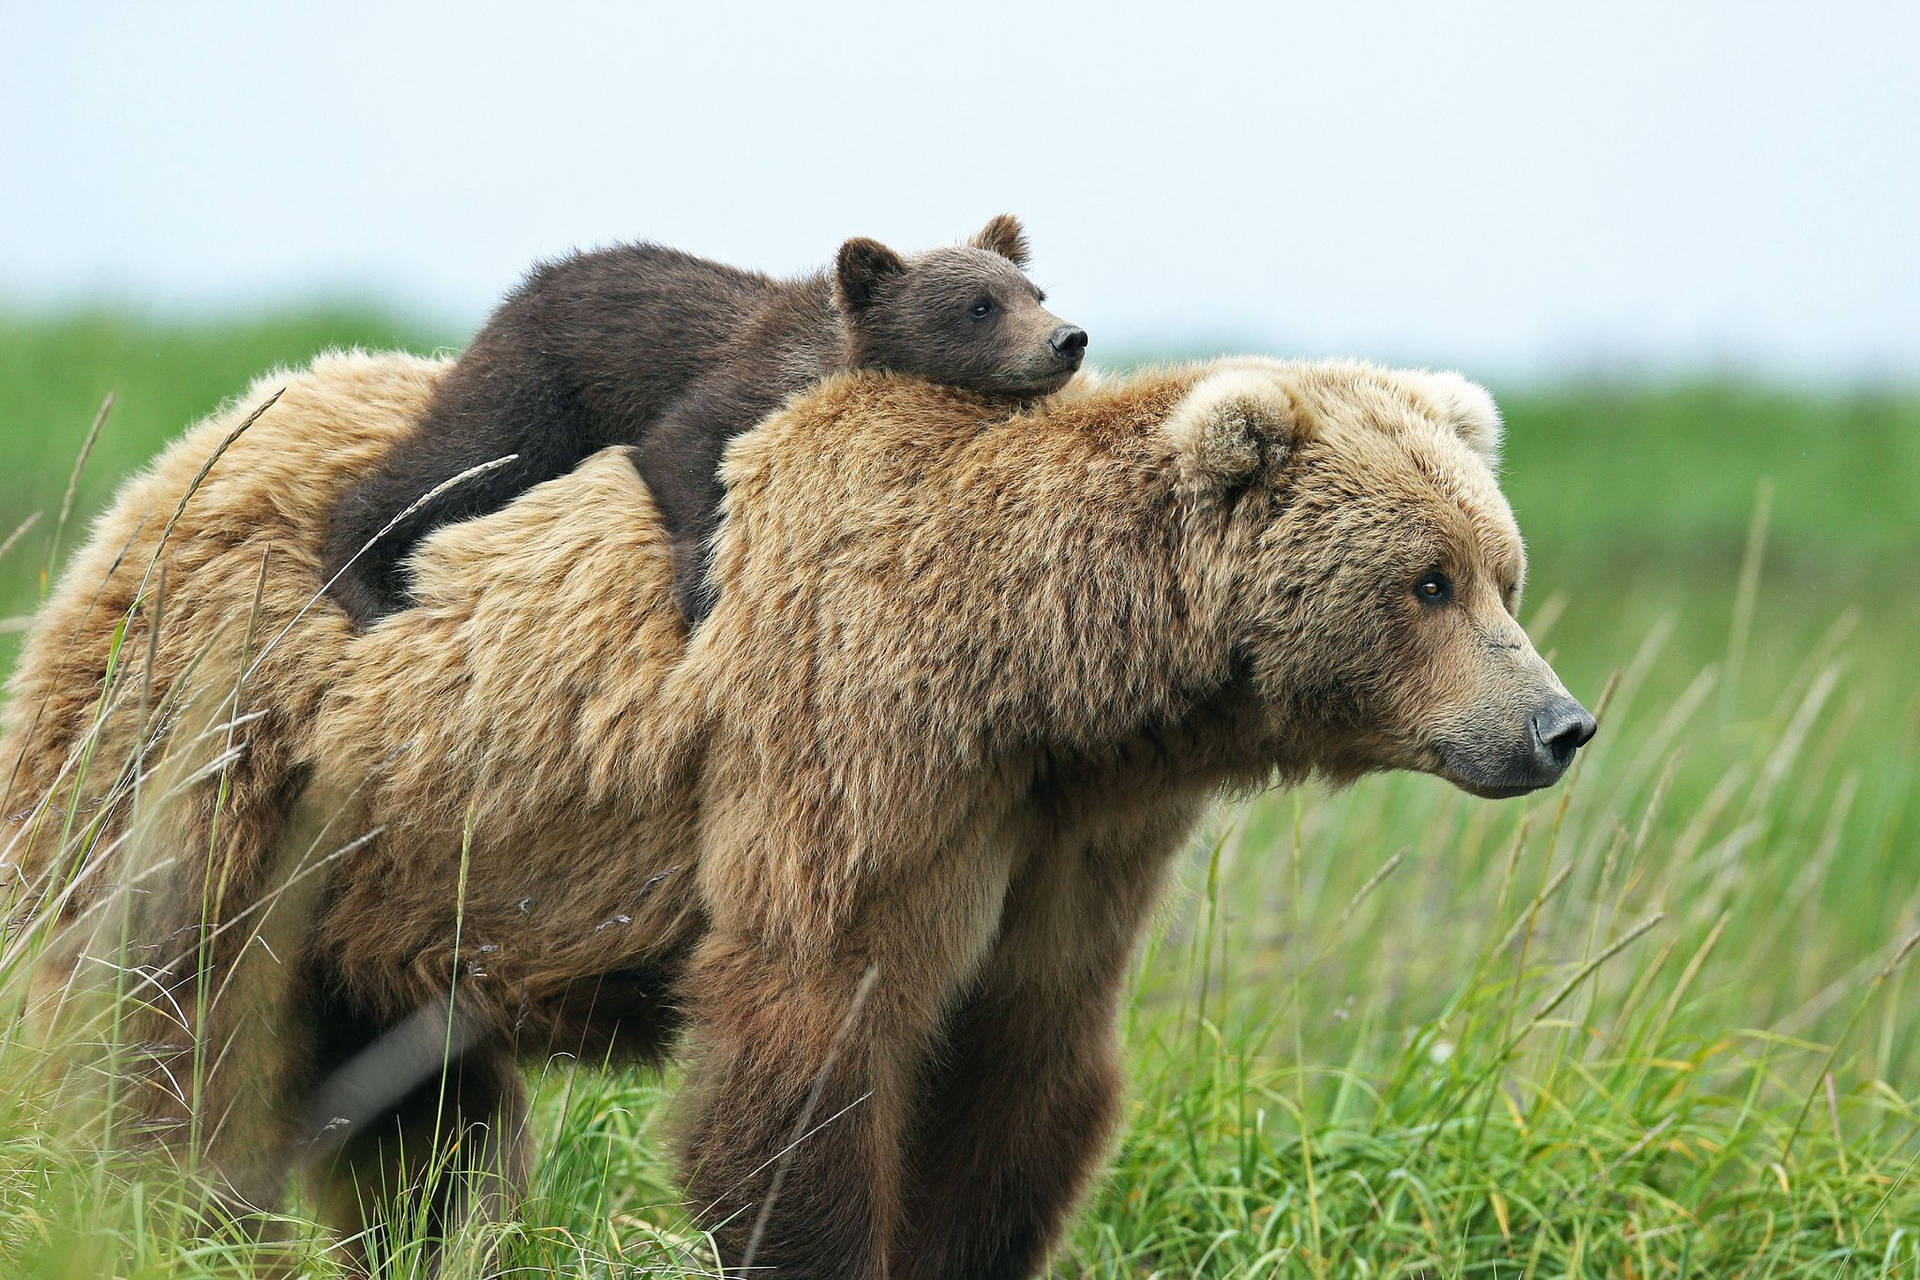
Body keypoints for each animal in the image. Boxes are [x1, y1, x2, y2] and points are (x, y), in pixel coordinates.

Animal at [1, 350, 1595, 1279]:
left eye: (1502, 567)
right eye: (1428, 580)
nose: (1557, 724)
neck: (1045, 678)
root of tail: (174, 459)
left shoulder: (1068, 838)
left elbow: (1023, 1067)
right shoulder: (858, 743)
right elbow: (811, 1037)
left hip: (394, 874)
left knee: (417, 1118)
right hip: (218, 750)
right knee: (160, 1022)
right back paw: (155, 1219)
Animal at [320, 214, 1087, 628]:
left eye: (1035, 291)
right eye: (980, 306)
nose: (1067, 339)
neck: (829, 353)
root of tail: (524, 288)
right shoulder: (740, 383)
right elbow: (680, 449)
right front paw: (701, 588)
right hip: (538, 384)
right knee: (458, 461)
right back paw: (363, 583)